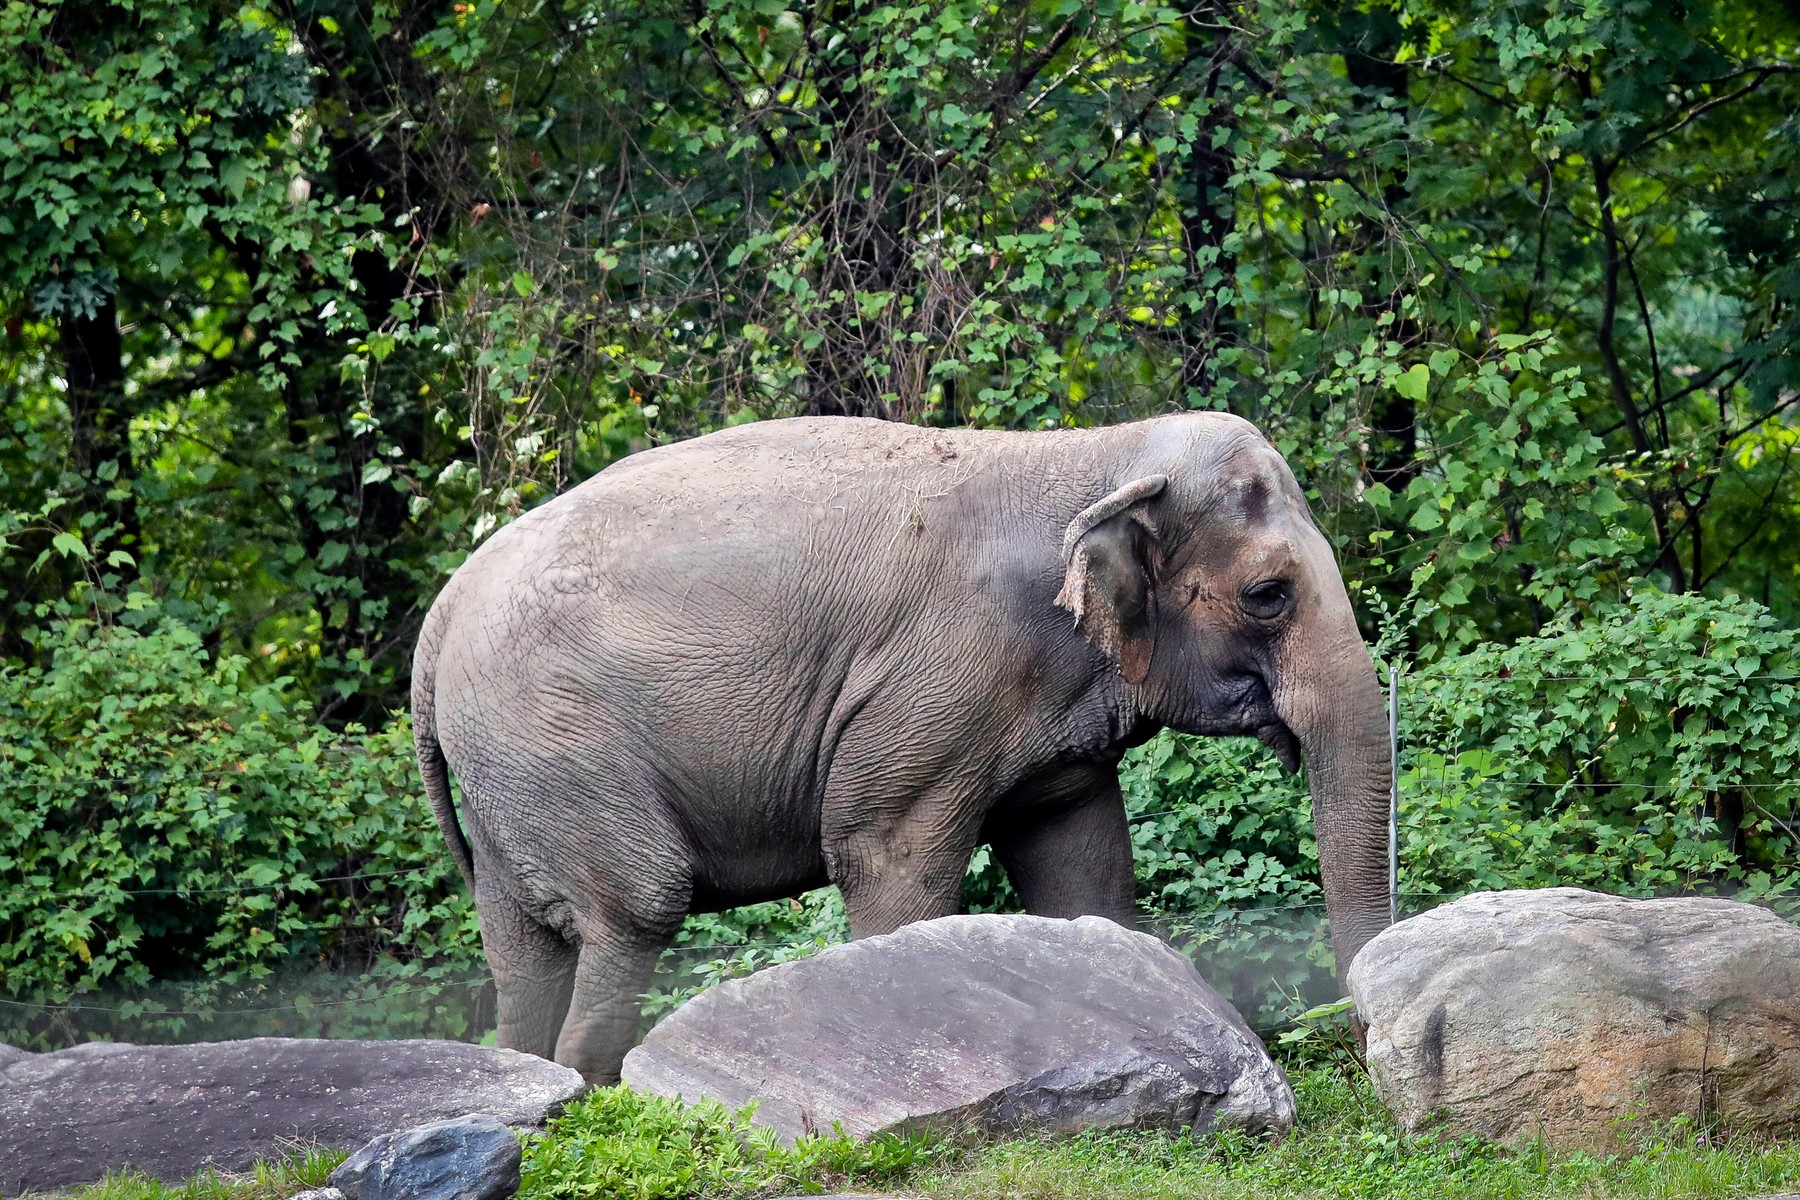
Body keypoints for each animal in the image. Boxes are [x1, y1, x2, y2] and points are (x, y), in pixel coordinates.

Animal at [412, 411, 1394, 1083]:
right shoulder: (938, 683)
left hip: (508, 773)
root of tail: (440, 616)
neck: (1095, 455)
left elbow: (1083, 867)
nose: (1358, 1049)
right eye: (1267, 595)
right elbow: (889, 859)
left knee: (522, 949)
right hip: (557, 740)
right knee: (636, 909)